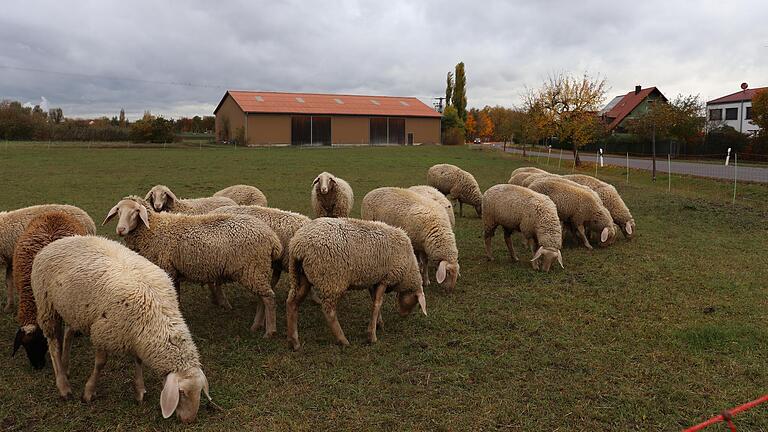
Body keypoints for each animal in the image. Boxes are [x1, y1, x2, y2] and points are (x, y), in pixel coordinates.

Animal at [31, 235, 210, 424]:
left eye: (200, 392)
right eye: (181, 392)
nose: (189, 420)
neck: (156, 314)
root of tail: (59, 241)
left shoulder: (137, 335)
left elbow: (138, 360)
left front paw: (139, 390)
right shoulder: (103, 332)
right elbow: (100, 363)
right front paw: (88, 392)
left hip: (74, 309)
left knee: (68, 333)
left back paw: (65, 367)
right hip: (46, 304)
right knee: (52, 343)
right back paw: (63, 385)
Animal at [102, 197, 282, 338]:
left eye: (136, 211)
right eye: (118, 211)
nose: (120, 230)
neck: (153, 230)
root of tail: (273, 239)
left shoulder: (167, 269)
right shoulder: (173, 272)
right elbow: (177, 295)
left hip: (253, 269)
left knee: (269, 299)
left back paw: (270, 331)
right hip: (257, 270)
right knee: (262, 298)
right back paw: (256, 326)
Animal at [284, 218, 426, 350]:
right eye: (415, 301)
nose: (403, 315)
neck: (408, 269)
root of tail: (297, 245)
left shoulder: (374, 280)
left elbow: (374, 301)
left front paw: (378, 324)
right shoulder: (386, 278)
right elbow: (377, 304)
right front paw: (372, 336)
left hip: (303, 276)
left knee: (292, 303)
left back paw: (294, 341)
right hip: (331, 280)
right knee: (329, 312)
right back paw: (343, 340)